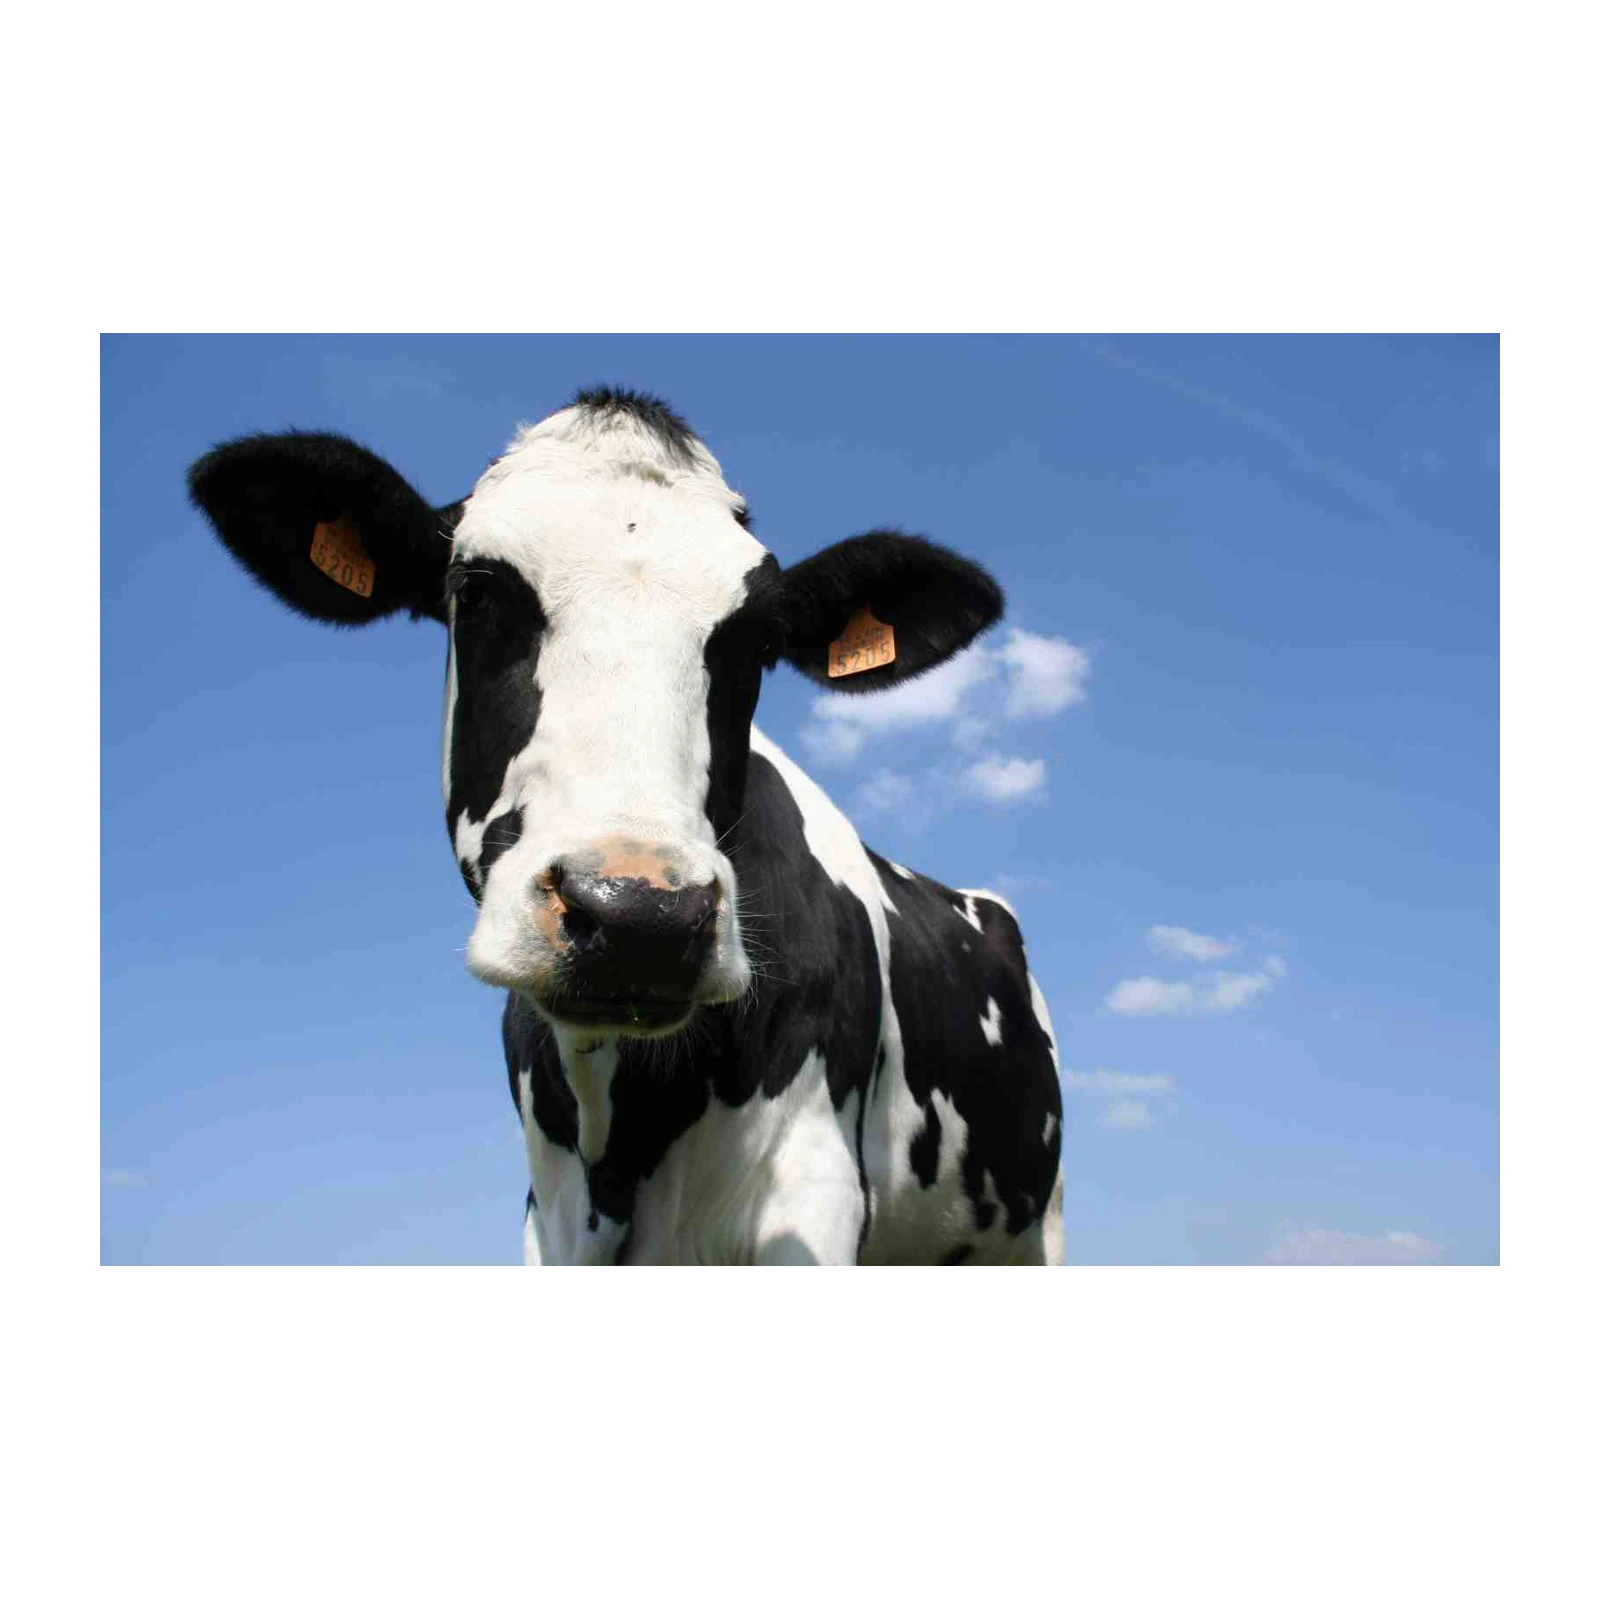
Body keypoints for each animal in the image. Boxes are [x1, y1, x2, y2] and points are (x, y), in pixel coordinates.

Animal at [188, 388, 1065, 1270]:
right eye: (474, 591)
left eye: (762, 638)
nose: (640, 916)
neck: (625, 1135)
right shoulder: (548, 1218)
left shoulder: (813, 1193)